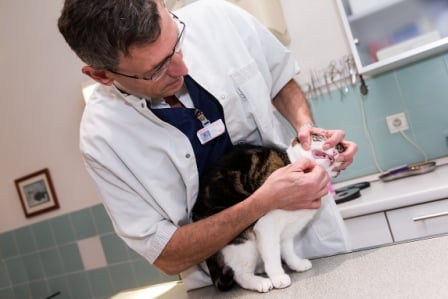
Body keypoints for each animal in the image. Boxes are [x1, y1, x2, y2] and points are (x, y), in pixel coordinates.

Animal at [191, 135, 344, 294]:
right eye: (321, 138)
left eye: (339, 148)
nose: (335, 151)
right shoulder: (266, 226)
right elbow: (272, 254)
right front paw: (278, 277)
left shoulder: (288, 231)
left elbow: (288, 249)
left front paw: (296, 263)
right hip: (243, 241)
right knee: (239, 274)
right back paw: (259, 282)